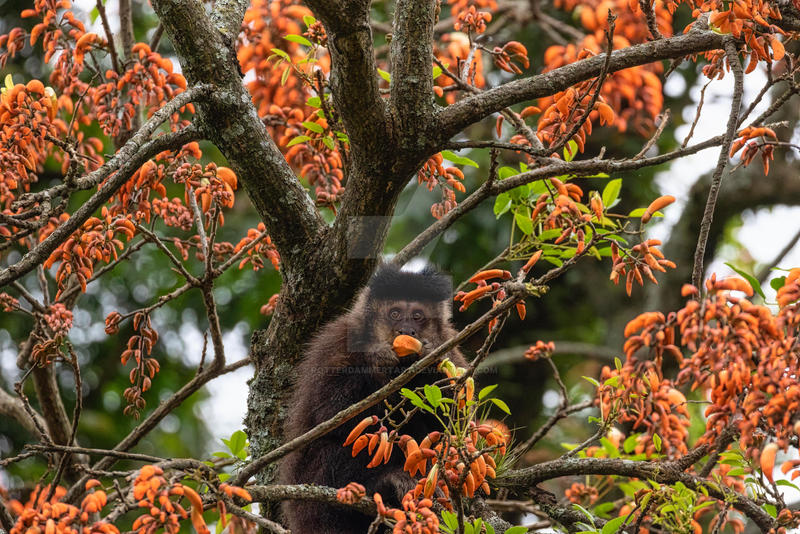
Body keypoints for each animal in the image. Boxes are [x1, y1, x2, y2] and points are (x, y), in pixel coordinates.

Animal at [278, 265, 468, 534]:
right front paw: (376, 359)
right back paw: (382, 485)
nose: (406, 331)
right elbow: (332, 413)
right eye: (395, 313)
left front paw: (429, 364)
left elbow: (453, 425)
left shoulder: (449, 348)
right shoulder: (337, 342)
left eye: (417, 316)